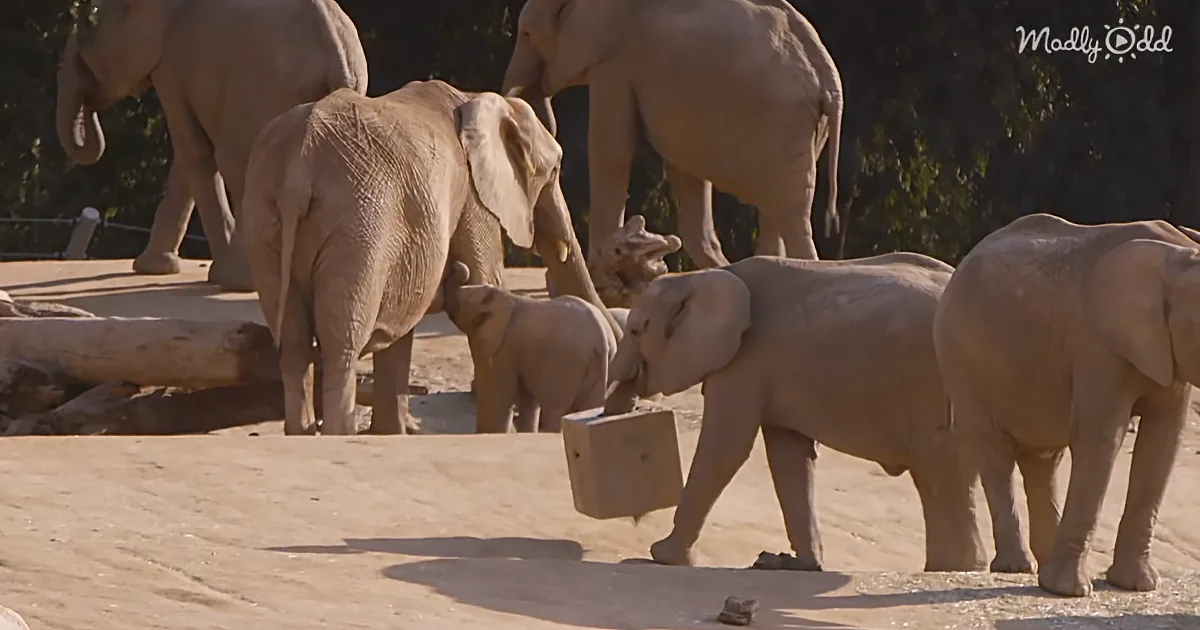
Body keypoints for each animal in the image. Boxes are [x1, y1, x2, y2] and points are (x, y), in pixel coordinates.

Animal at [55, 0, 367, 290]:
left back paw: (239, 280)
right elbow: (186, 158)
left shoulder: (171, 64)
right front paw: (154, 269)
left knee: (236, 162)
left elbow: (193, 150)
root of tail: (335, 53)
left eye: (87, 26)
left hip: (263, 92)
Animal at [442, 261, 618, 433]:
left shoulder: (503, 347)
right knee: (588, 407)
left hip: (565, 363)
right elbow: (527, 401)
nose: (456, 263)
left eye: (461, 303)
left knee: (554, 412)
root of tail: (602, 339)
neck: (505, 298)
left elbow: (498, 399)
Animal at [501, 0, 844, 269]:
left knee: (788, 210)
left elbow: (611, 152)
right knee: (776, 205)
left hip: (781, 121)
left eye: (526, 34)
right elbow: (685, 169)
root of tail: (827, 77)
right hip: (798, 126)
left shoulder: (615, 63)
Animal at [604, 254, 988, 572]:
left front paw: (661, 556)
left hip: (936, 380)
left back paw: (953, 569)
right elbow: (789, 456)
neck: (698, 277)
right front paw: (797, 564)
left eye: (636, 330)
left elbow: (725, 449)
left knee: (939, 467)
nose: (635, 518)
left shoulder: (746, 362)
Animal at [932, 213, 1200, 597]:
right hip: (958, 354)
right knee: (992, 447)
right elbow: (1101, 437)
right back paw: (1018, 568)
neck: (1177, 257)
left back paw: (1042, 563)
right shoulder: (1096, 342)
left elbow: (1162, 442)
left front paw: (1137, 586)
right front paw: (1070, 591)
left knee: (1042, 459)